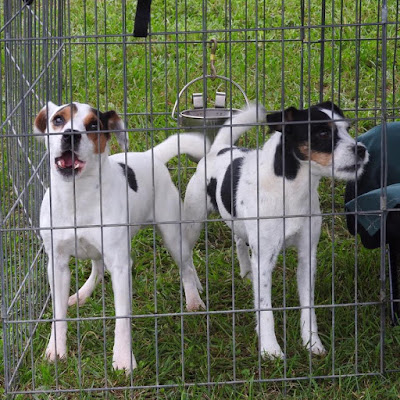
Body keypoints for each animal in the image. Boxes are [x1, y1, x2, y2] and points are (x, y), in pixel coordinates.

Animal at [34, 101, 209, 372]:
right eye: (58, 120)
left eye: (93, 125)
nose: (71, 135)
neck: (77, 196)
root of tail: (150, 156)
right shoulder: (58, 264)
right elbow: (58, 313)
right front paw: (56, 350)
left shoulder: (120, 266)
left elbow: (122, 317)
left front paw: (124, 359)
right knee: (97, 268)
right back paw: (82, 294)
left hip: (172, 234)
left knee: (187, 264)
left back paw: (193, 299)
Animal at [183, 102, 369, 359]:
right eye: (322, 133)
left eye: (347, 129)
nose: (361, 149)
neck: (290, 189)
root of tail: (218, 149)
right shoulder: (265, 258)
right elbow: (265, 309)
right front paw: (270, 350)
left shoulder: (307, 255)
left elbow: (308, 305)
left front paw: (312, 343)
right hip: (193, 221)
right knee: (186, 258)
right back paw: (193, 295)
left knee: (239, 240)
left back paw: (246, 273)